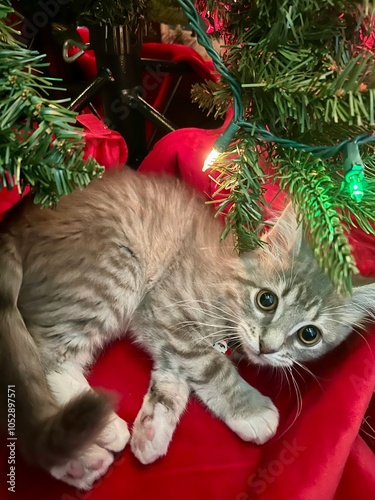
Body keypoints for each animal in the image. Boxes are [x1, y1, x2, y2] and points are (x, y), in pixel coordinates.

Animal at [0, 168, 375, 488]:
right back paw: (96, 438)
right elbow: (211, 366)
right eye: (266, 300)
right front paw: (251, 409)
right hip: (111, 272)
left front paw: (153, 427)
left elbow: (173, 378)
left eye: (309, 335)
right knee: (45, 361)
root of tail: (23, 219)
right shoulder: (164, 307)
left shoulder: (163, 333)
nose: (267, 347)